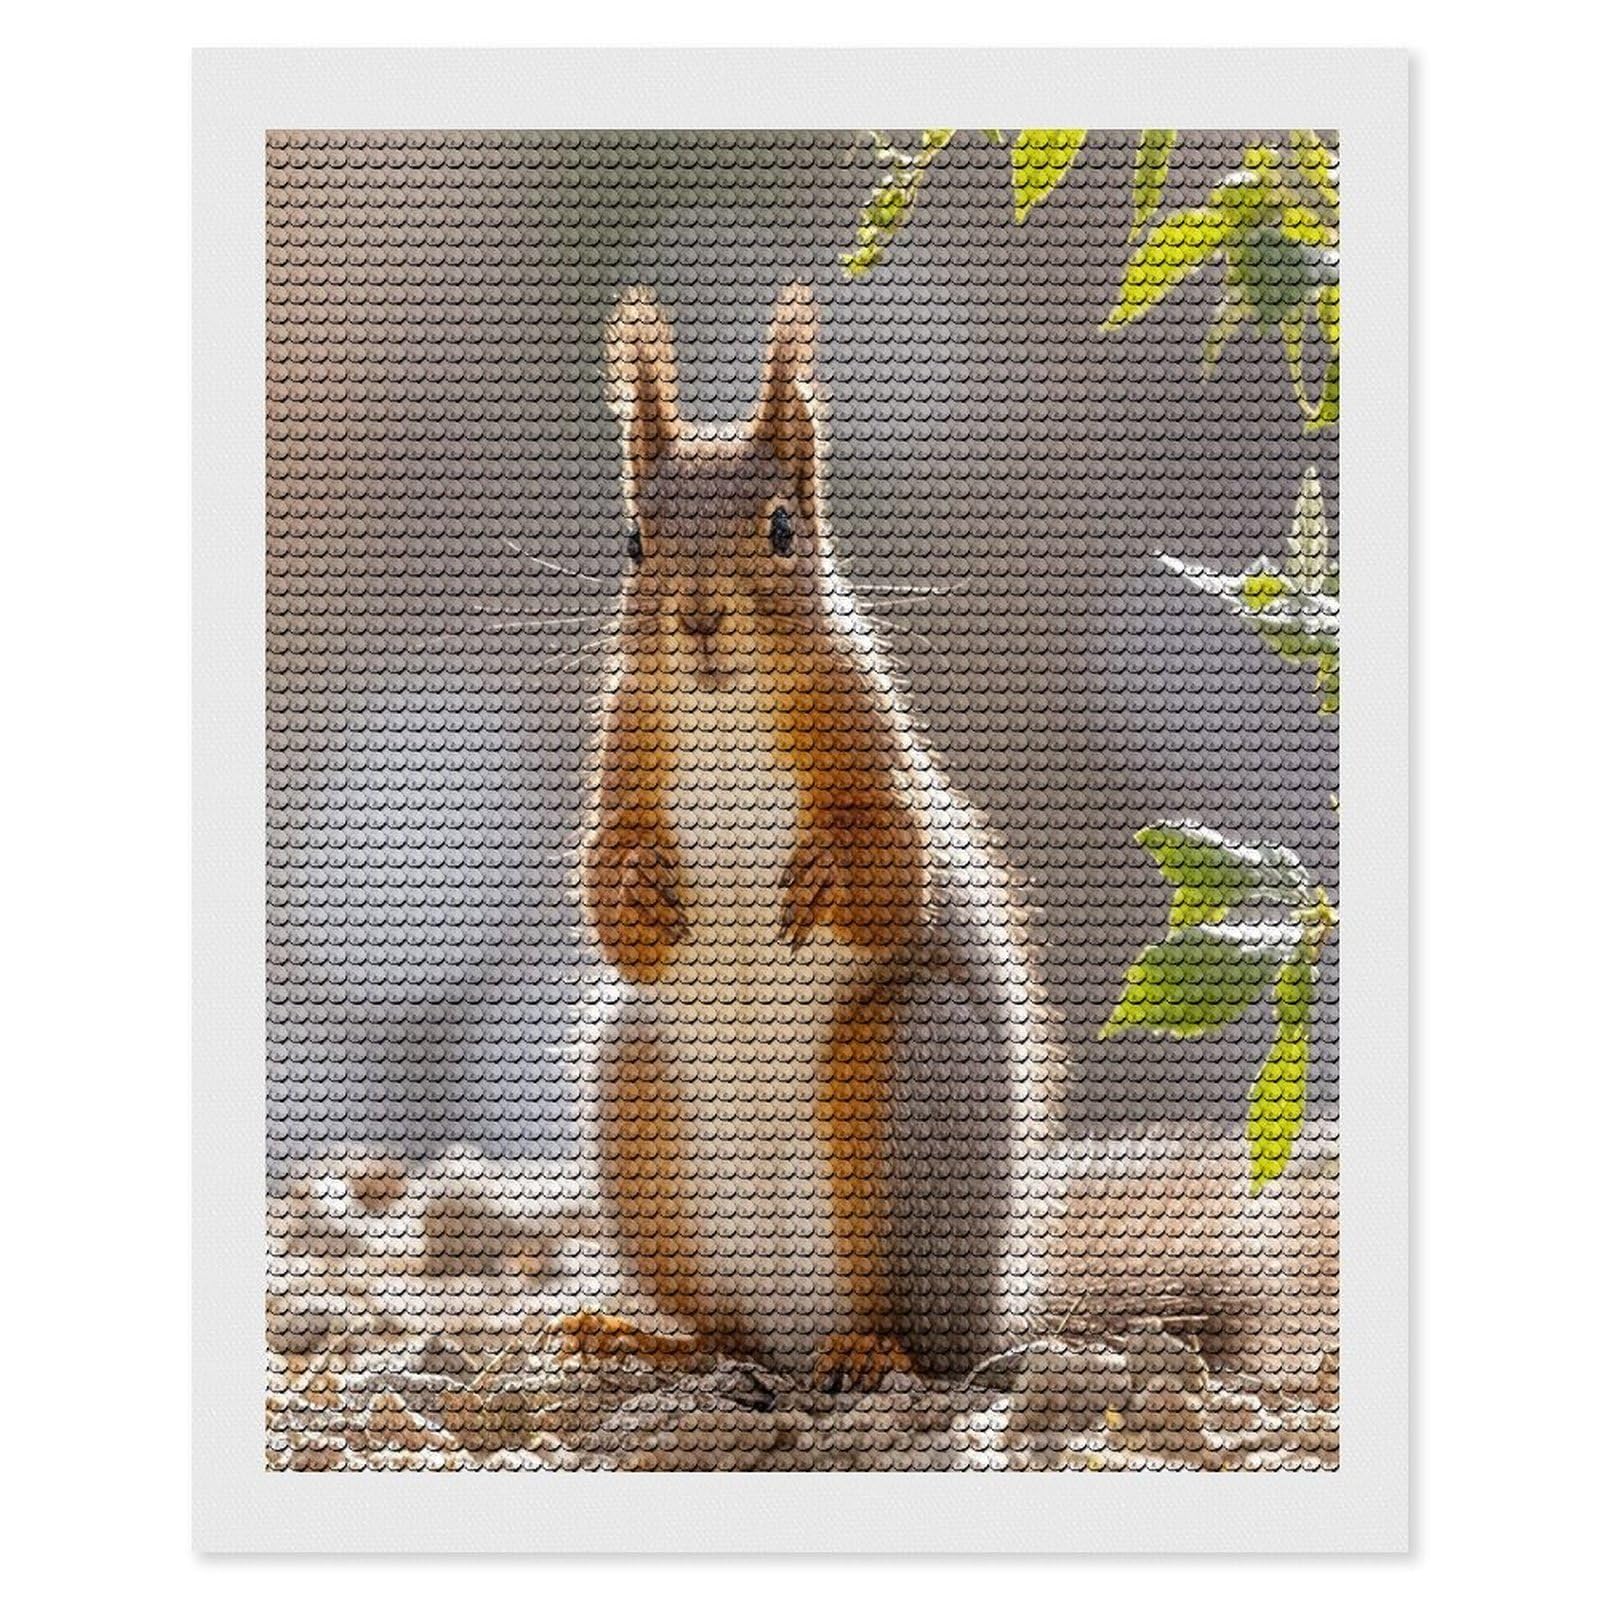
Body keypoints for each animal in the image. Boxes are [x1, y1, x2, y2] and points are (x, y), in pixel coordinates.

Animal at [567, 283, 1058, 1392]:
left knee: (914, 1332)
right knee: (727, 1330)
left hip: (915, 1082)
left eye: (783, 529)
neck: (726, 714)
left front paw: (827, 873)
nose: (700, 618)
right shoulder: (626, 749)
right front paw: (639, 886)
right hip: (637, 1102)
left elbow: (902, 873)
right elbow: (605, 888)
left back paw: (873, 1348)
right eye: (632, 541)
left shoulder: (870, 738)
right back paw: (660, 1339)